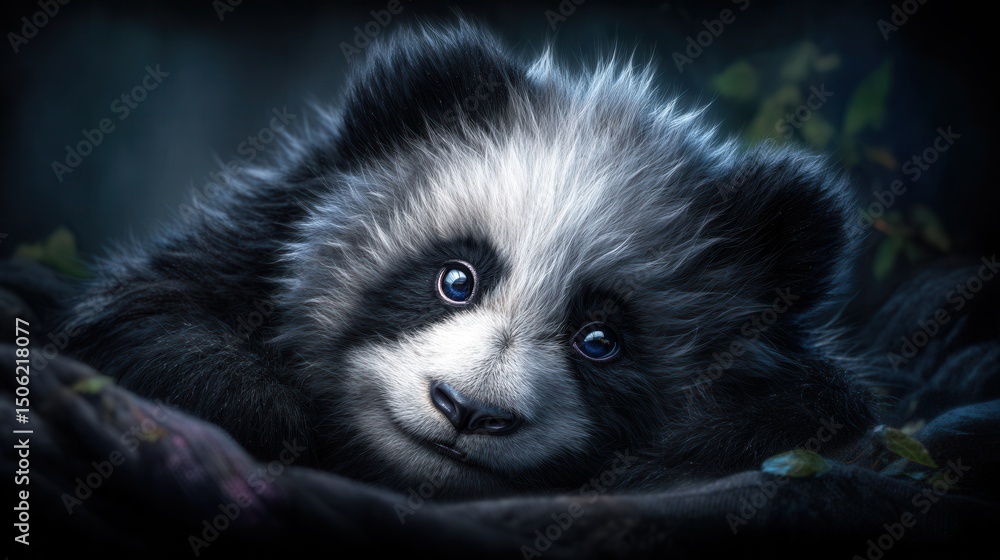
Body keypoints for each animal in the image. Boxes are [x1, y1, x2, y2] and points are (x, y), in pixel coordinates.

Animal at [62, 20, 878, 498]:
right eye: (456, 278)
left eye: (601, 340)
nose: (468, 411)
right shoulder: (259, 231)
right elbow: (152, 318)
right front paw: (266, 406)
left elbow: (800, 419)